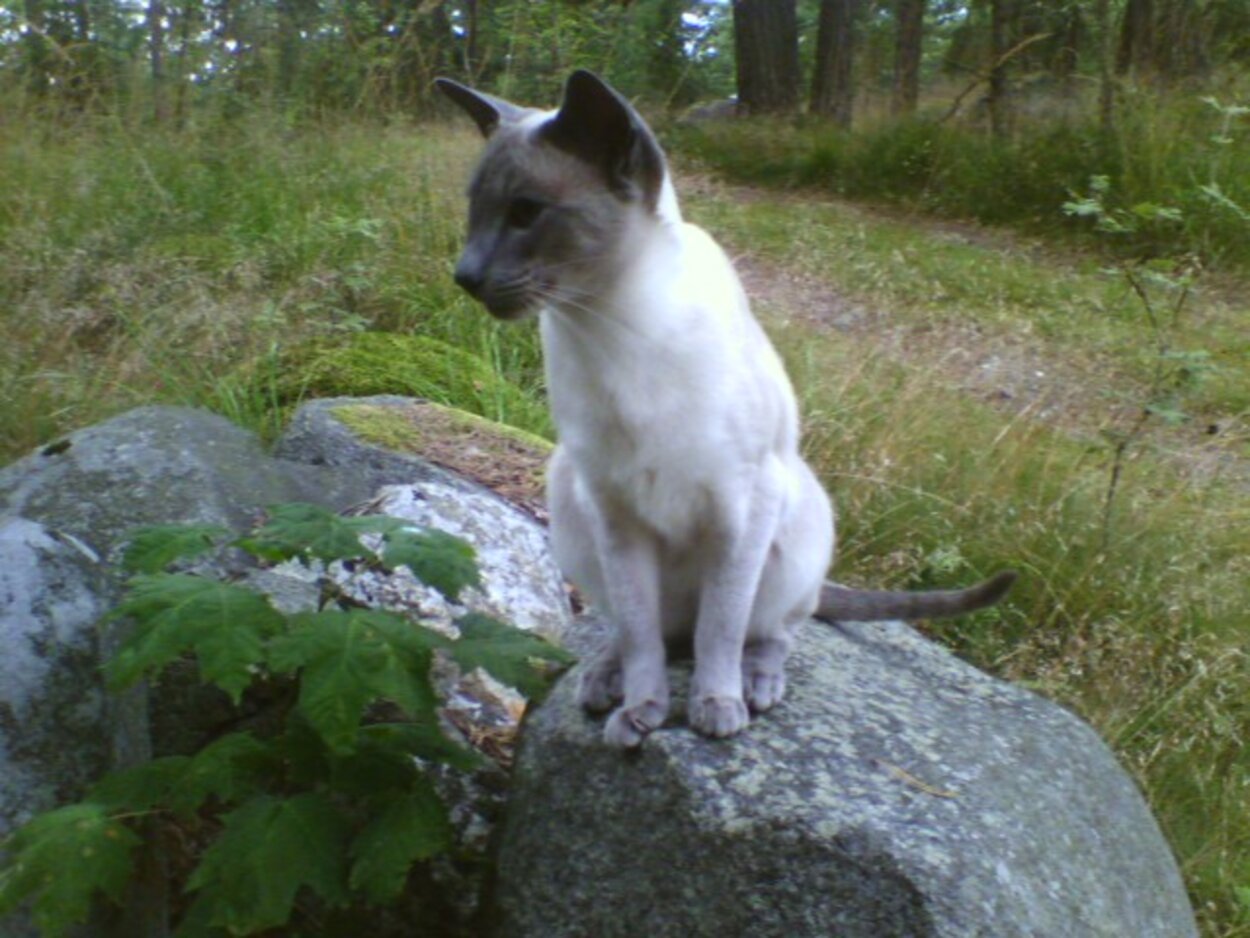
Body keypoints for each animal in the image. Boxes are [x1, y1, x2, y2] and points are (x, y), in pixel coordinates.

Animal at [435, 71, 1010, 750]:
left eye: (526, 213)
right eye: (475, 212)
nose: (465, 275)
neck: (609, 326)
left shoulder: (740, 511)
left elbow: (722, 628)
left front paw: (714, 709)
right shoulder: (615, 515)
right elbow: (640, 633)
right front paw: (644, 711)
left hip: (791, 522)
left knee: (765, 631)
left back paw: (752, 686)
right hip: (570, 498)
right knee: (647, 632)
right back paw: (605, 681)